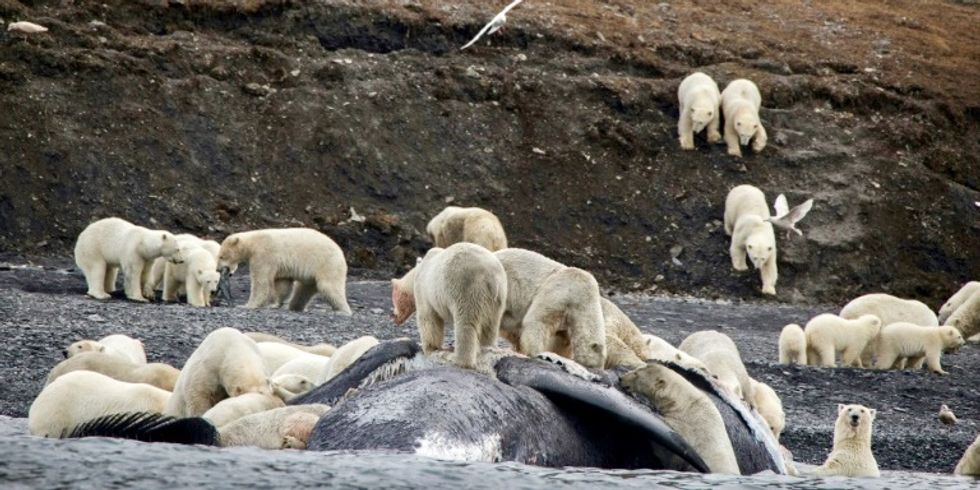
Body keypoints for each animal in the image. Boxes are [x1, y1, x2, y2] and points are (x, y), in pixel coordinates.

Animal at [217, 228, 351, 314]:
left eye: (221, 256)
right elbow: (283, 283)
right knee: (303, 290)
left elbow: (261, 281)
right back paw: (295, 307)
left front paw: (247, 305)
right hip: (313, 275)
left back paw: (343, 310)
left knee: (329, 287)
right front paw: (275, 304)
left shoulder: (264, 254)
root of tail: (341, 253)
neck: (254, 241)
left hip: (327, 264)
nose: (218, 269)